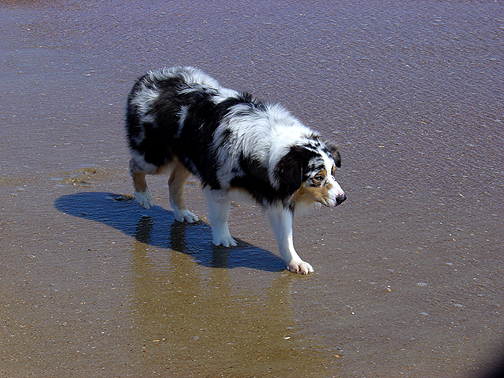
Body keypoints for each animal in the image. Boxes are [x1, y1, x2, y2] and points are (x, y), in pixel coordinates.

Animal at [126, 66, 346, 274]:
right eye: (318, 177)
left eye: (333, 171)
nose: (342, 198)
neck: (267, 151)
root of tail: (146, 77)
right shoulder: (218, 185)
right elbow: (221, 216)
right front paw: (223, 239)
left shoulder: (276, 198)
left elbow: (286, 238)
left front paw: (295, 262)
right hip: (154, 157)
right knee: (134, 166)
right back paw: (143, 196)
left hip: (187, 159)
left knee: (173, 183)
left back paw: (183, 213)